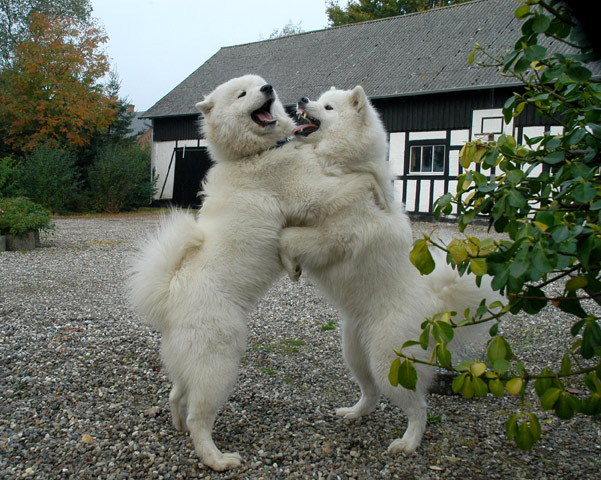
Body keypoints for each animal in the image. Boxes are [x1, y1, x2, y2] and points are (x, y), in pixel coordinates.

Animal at [127, 76, 384, 472]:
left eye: (257, 84)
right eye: (242, 94)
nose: (269, 88)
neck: (254, 154)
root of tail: (170, 295)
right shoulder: (312, 191)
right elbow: (359, 179)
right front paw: (380, 191)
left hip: (190, 363)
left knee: (176, 395)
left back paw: (178, 425)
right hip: (220, 363)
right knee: (200, 418)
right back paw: (217, 459)